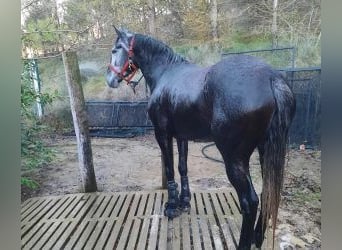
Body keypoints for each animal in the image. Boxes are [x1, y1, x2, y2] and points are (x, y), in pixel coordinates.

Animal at [105, 27, 296, 250]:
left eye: (115, 49)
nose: (110, 78)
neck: (166, 73)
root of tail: (272, 79)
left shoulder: (162, 133)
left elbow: (170, 169)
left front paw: (172, 206)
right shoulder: (182, 136)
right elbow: (182, 167)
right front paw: (184, 201)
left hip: (234, 158)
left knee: (250, 201)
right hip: (265, 151)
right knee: (268, 192)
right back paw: (257, 238)